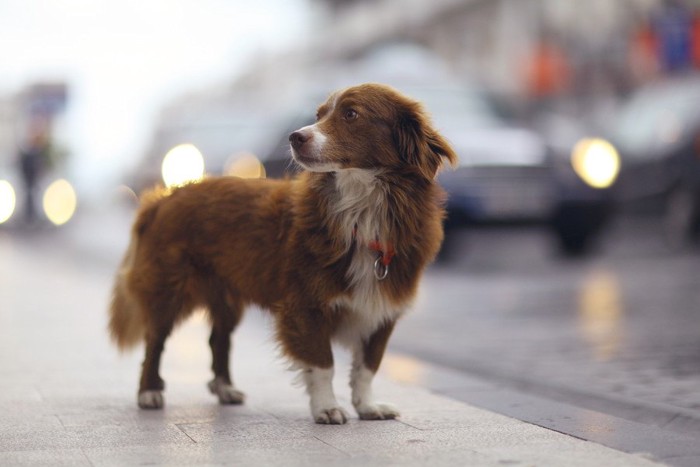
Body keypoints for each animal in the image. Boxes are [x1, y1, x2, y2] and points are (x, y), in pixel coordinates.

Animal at [108, 83, 460, 424]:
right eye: (318, 114)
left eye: (351, 114)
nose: (295, 136)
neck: (362, 211)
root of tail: (162, 198)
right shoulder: (306, 305)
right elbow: (323, 363)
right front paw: (327, 408)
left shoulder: (382, 308)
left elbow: (367, 368)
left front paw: (368, 407)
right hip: (169, 286)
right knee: (155, 340)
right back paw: (149, 392)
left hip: (225, 295)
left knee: (218, 340)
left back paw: (225, 389)